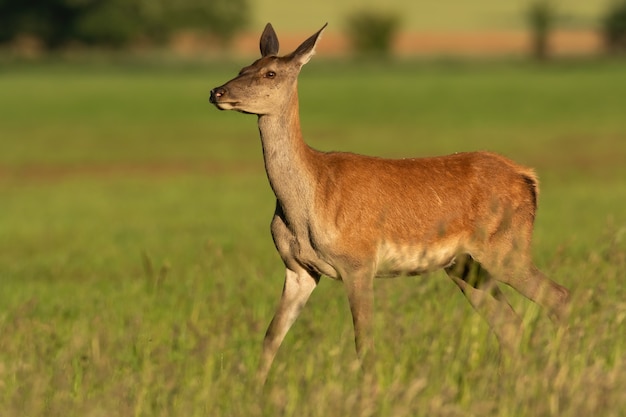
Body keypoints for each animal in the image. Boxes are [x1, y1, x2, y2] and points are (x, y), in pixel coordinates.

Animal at [207, 23, 568, 384]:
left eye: (270, 73)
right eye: (243, 67)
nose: (217, 92)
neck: (307, 203)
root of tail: (528, 177)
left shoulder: (359, 261)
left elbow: (364, 342)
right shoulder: (298, 268)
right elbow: (271, 337)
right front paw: (254, 388)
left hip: (505, 247)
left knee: (557, 298)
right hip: (465, 265)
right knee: (509, 323)